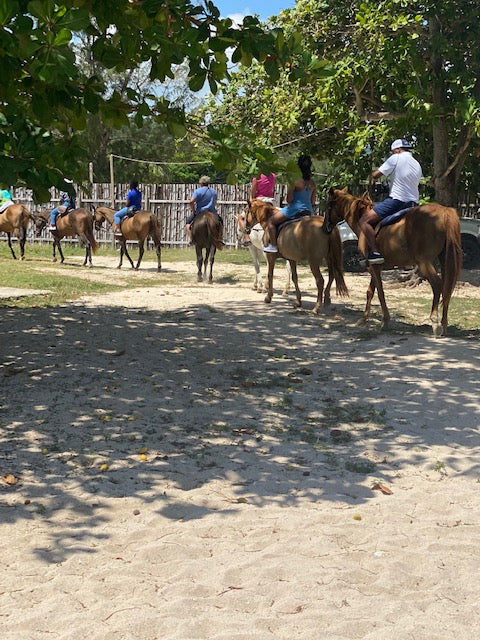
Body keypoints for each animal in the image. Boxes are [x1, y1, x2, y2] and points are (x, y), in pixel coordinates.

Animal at [324, 186, 464, 336]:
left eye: (328, 206)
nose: (325, 227)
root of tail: (444, 211)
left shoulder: (372, 267)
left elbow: (380, 292)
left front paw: (385, 321)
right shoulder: (376, 266)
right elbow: (370, 292)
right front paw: (363, 319)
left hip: (424, 262)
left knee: (438, 285)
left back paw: (435, 322)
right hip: (444, 259)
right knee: (447, 287)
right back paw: (444, 324)